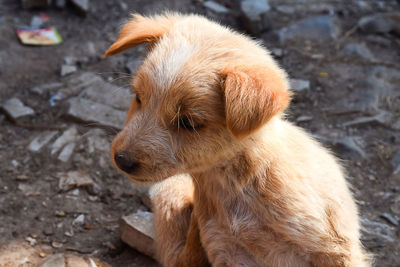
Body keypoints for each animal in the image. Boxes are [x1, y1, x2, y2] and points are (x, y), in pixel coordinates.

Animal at [104, 13, 370, 267]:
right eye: (138, 97)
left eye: (189, 122)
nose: (122, 160)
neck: (234, 182)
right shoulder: (226, 248)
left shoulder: (332, 247)